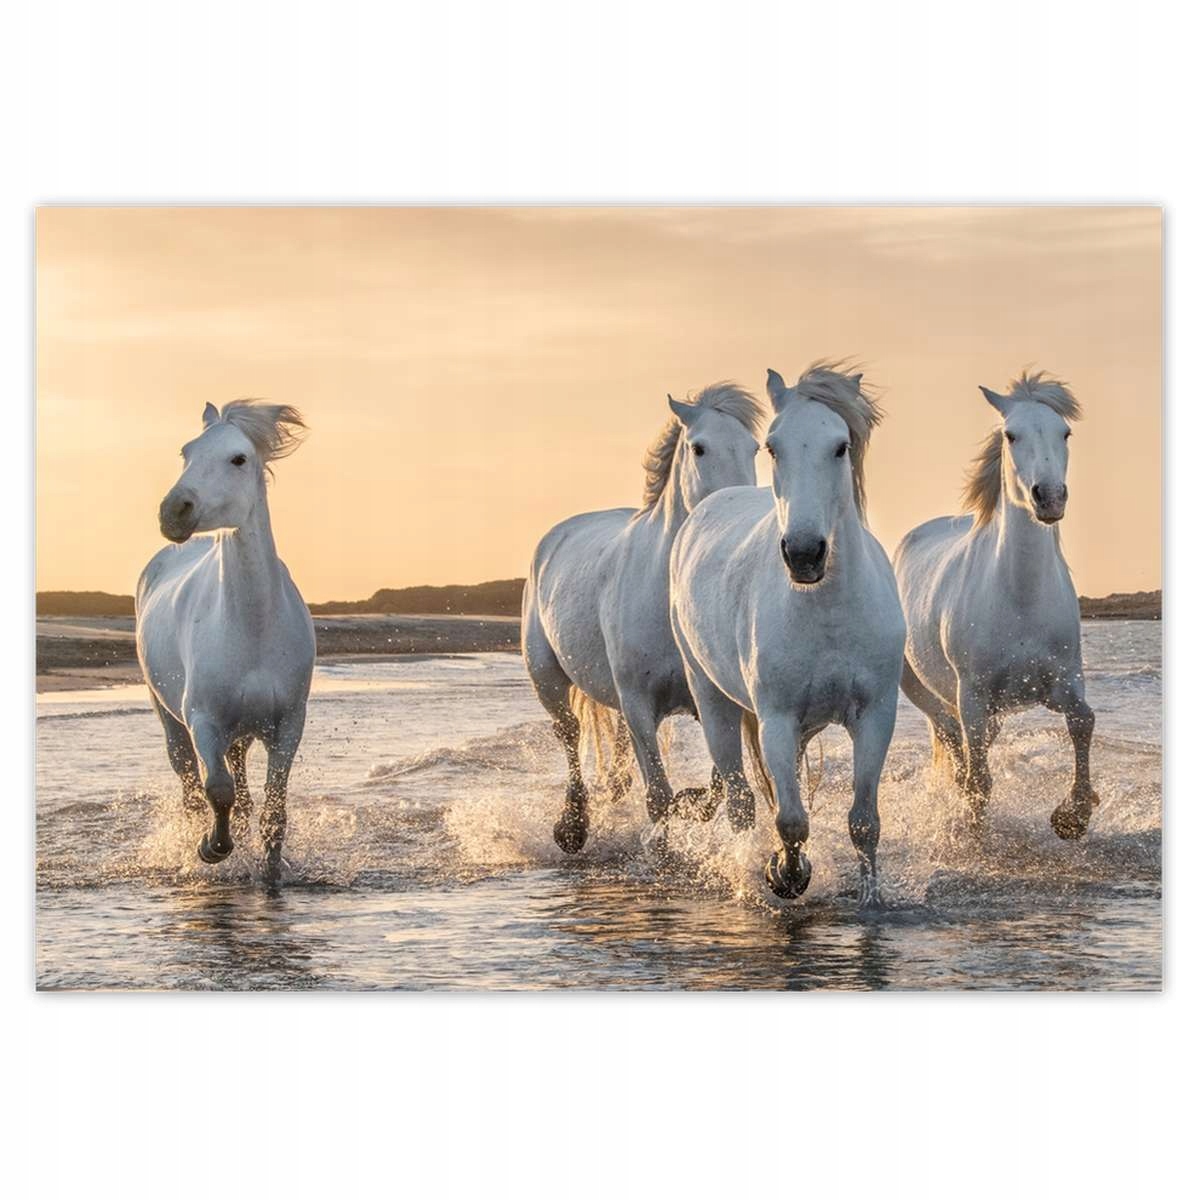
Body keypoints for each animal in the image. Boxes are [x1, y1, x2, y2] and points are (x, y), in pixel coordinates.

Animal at [136, 400, 316, 883]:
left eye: (238, 458)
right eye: (186, 452)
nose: (174, 511)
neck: (251, 628)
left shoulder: (288, 724)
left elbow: (273, 809)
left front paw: (271, 869)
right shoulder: (203, 720)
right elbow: (218, 789)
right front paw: (212, 848)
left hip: (242, 732)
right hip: (170, 719)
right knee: (190, 785)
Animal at [522, 383, 765, 853]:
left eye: (754, 448)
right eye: (699, 447)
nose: (736, 510)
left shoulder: (709, 699)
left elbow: (715, 785)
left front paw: (690, 805)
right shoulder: (639, 704)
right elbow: (657, 794)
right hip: (547, 679)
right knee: (569, 734)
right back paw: (572, 827)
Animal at [670, 364, 904, 906]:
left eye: (840, 446)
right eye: (773, 447)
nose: (803, 553)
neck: (828, 611)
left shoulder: (875, 716)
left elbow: (864, 822)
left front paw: (871, 900)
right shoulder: (775, 719)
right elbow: (791, 820)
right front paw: (786, 875)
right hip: (712, 699)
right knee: (740, 798)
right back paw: (751, 871)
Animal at [892, 371, 1099, 839]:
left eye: (1065, 432)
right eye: (1011, 435)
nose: (1049, 497)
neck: (1020, 598)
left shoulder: (1063, 681)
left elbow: (1083, 721)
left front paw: (1073, 815)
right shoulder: (972, 695)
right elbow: (979, 779)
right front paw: (975, 832)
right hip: (924, 690)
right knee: (953, 741)